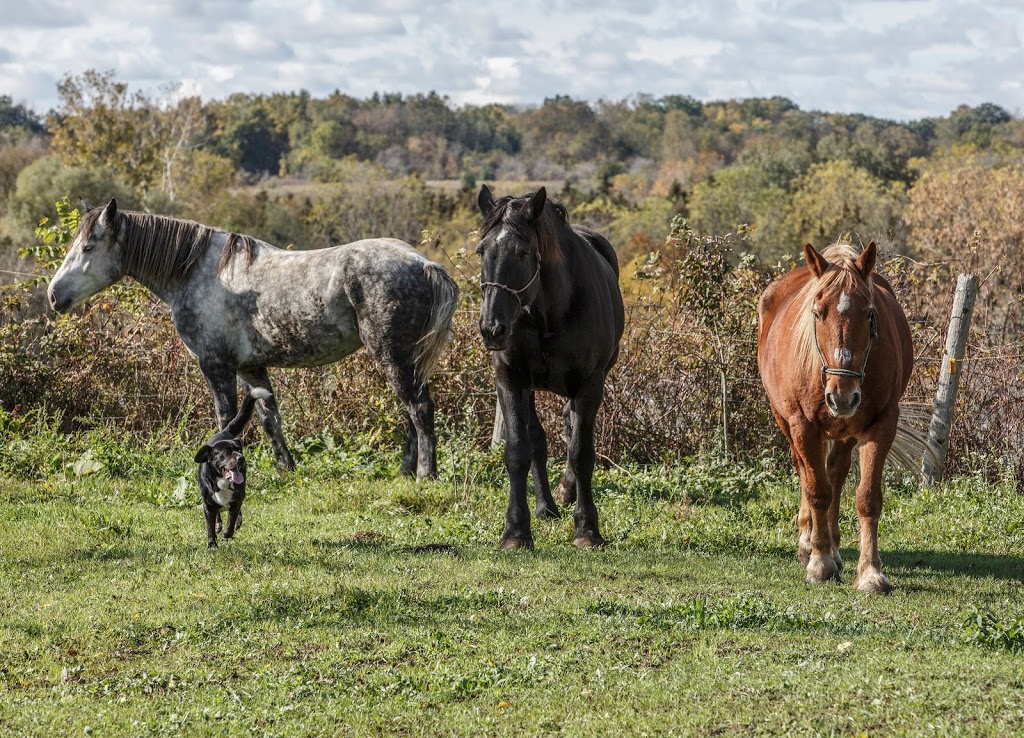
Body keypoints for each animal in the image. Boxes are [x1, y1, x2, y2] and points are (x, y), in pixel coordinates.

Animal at [48, 199, 456, 476]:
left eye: (88, 247)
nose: (54, 295)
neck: (198, 272)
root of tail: (424, 264)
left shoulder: (217, 366)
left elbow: (227, 419)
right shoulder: (251, 368)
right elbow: (268, 418)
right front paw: (285, 468)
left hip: (392, 355)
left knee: (419, 408)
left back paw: (426, 474)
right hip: (404, 359)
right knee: (412, 409)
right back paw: (406, 471)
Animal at [193, 388, 270, 544]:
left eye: (239, 450)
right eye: (226, 452)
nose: (241, 458)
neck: (223, 482)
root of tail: (224, 431)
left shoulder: (236, 501)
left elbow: (231, 521)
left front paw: (227, 533)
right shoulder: (208, 505)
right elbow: (210, 527)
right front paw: (212, 544)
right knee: (217, 517)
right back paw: (218, 524)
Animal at [473, 185, 622, 548]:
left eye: (523, 252)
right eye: (481, 251)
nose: (491, 328)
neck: (549, 312)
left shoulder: (589, 384)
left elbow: (581, 453)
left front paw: (587, 529)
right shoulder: (510, 380)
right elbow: (518, 451)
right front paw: (515, 531)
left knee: (570, 430)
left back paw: (567, 491)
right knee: (538, 441)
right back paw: (547, 507)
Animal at [761, 241, 913, 593]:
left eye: (870, 314)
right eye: (818, 313)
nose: (842, 396)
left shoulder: (880, 425)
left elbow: (867, 497)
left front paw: (870, 572)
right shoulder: (803, 426)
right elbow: (817, 490)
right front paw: (820, 563)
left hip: (844, 432)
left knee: (836, 474)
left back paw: (832, 546)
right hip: (786, 422)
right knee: (807, 474)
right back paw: (809, 544)